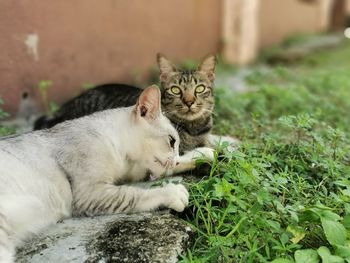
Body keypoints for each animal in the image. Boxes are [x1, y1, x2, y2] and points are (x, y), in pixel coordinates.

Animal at [34, 54, 234, 156]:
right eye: (176, 90)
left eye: (199, 88)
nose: (189, 101)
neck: (195, 128)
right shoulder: (181, 150)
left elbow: (215, 140)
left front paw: (230, 142)